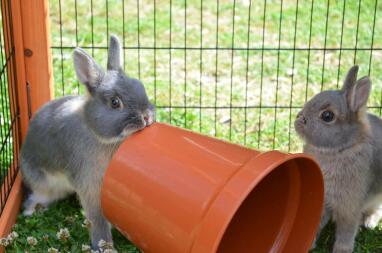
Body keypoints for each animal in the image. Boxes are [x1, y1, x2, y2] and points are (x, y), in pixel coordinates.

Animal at [19, 35, 155, 249]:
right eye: (115, 103)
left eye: (140, 86)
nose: (147, 117)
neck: (94, 130)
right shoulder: (89, 185)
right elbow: (97, 218)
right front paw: (104, 247)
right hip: (42, 185)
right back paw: (32, 210)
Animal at [296, 65, 382, 253]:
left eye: (327, 116)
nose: (299, 118)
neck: (340, 149)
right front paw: (309, 243)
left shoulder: (349, 207)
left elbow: (346, 232)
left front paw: (342, 250)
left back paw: (369, 223)